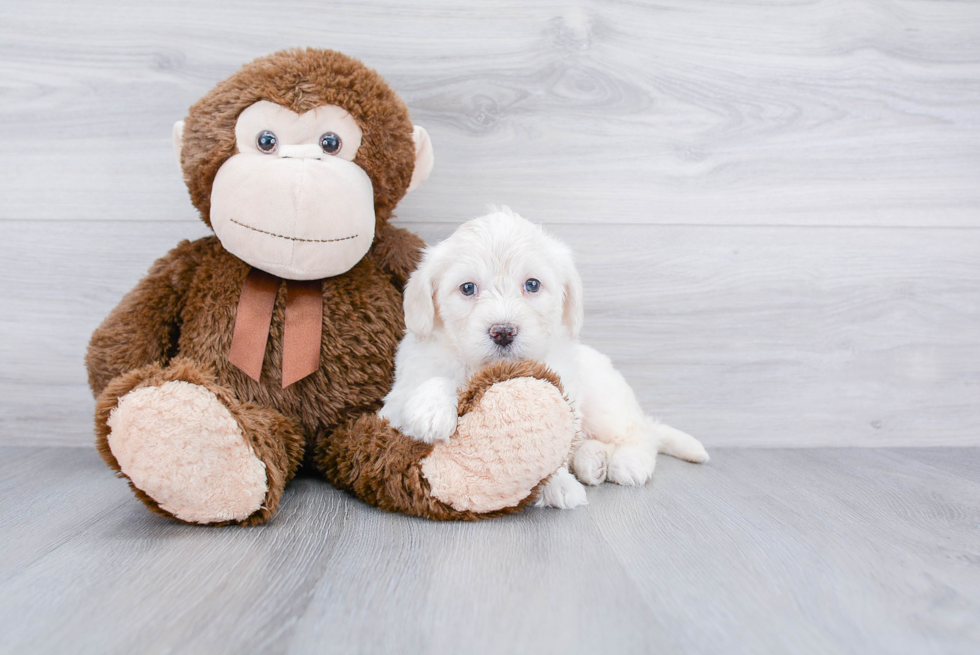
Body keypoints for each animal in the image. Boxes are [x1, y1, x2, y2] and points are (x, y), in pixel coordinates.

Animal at [378, 210, 708, 512]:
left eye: (533, 285)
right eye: (468, 288)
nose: (503, 332)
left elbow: (553, 443)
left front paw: (558, 484)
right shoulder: (394, 402)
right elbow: (434, 381)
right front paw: (431, 410)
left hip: (606, 402)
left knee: (640, 434)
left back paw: (627, 462)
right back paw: (593, 461)